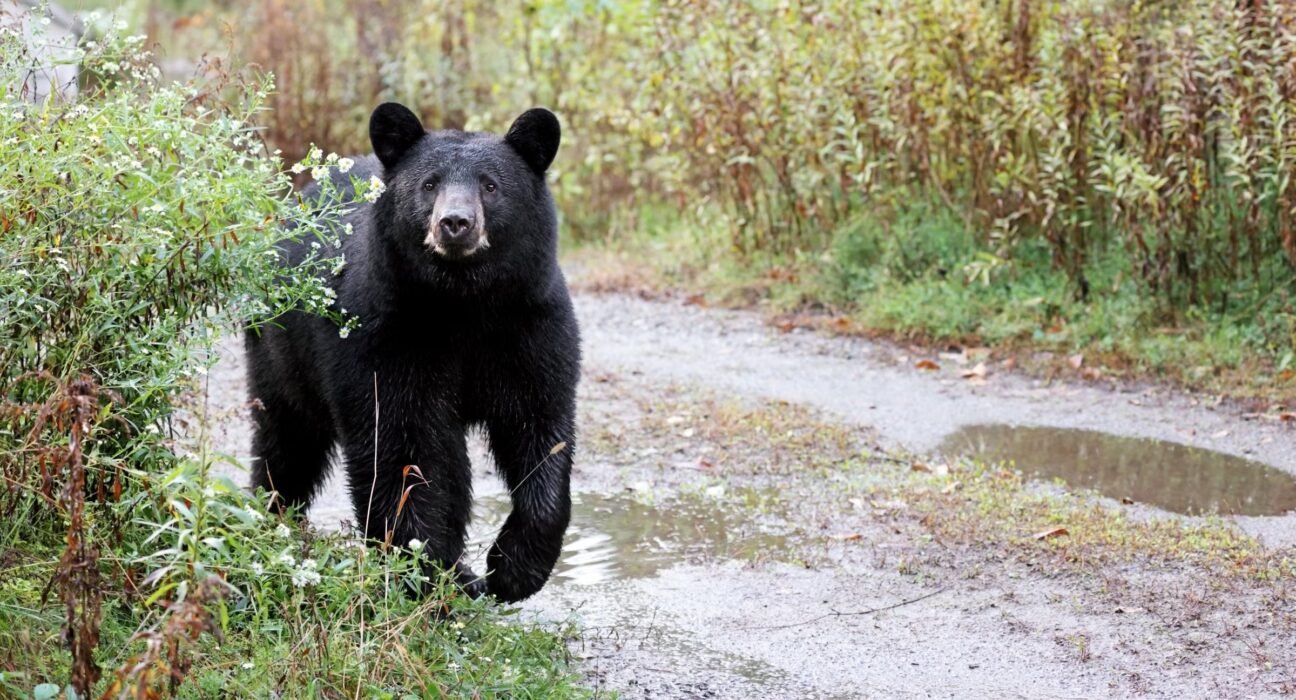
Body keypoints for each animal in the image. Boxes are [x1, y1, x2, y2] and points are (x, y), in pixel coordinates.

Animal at [244, 103, 580, 603]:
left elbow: (540, 428)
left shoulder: (530, 326)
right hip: (279, 349)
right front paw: (423, 570)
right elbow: (398, 441)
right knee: (286, 440)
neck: (463, 303)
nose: (455, 223)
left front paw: (512, 569)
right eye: (429, 184)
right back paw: (271, 515)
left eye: (490, 185)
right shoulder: (385, 331)